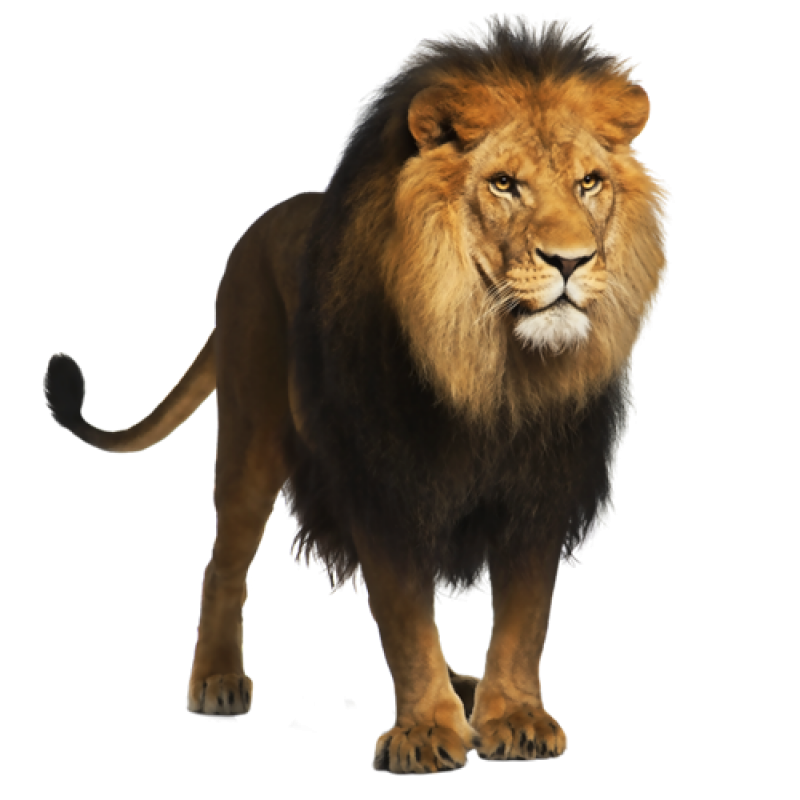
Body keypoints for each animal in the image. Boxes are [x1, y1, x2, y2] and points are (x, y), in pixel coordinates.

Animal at [43, 14, 670, 773]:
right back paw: (217, 679)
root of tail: (261, 225)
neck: (492, 368)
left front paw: (513, 716)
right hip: (252, 436)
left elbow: (524, 621)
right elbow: (405, 617)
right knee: (223, 562)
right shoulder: (385, 485)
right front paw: (427, 731)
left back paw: (467, 683)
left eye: (589, 183)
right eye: (503, 184)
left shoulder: (537, 492)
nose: (572, 261)